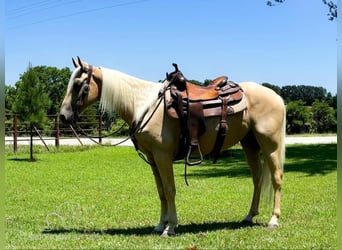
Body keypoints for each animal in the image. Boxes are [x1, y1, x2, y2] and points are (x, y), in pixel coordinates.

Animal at [60, 57, 284, 237]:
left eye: (79, 84)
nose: (63, 116)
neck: (144, 106)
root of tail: (276, 96)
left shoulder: (163, 156)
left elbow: (169, 190)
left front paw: (171, 227)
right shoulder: (153, 159)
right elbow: (160, 192)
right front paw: (160, 224)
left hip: (270, 144)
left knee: (276, 178)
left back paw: (273, 220)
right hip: (250, 144)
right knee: (257, 178)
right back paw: (249, 216)